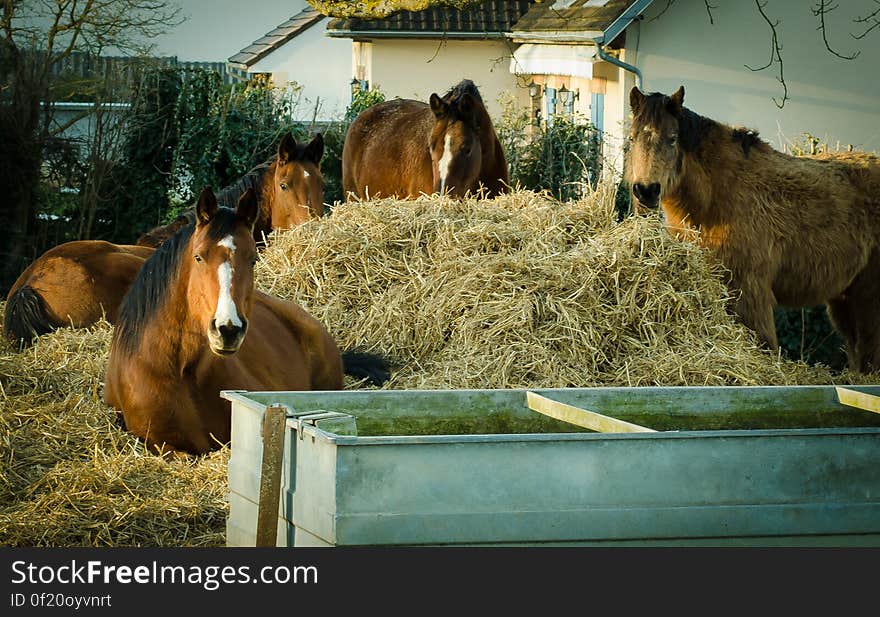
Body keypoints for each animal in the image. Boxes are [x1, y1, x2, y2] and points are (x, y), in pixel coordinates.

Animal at [624, 85, 880, 372]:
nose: (646, 190)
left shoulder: (749, 287)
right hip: (845, 294)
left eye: (672, 138)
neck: (718, 196)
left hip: (869, 292)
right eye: (632, 138)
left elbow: (763, 341)